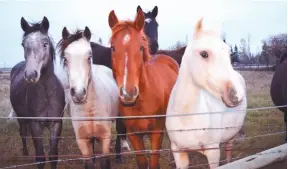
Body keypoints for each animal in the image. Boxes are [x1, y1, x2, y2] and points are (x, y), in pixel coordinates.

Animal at [9, 16, 65, 169]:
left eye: (45, 44)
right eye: (23, 44)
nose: (30, 75)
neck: (46, 95)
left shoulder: (56, 124)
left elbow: (53, 156)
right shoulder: (35, 124)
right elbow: (40, 157)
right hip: (21, 117)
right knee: (23, 132)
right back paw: (25, 152)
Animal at [56, 25, 126, 168]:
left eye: (89, 56)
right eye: (65, 59)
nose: (78, 93)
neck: (90, 109)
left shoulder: (105, 137)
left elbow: (105, 162)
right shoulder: (82, 140)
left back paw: (119, 156)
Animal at [108, 9, 180, 169]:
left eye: (141, 47)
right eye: (112, 48)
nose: (128, 93)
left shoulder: (157, 132)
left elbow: (153, 162)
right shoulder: (134, 135)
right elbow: (142, 162)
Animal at [165, 17, 249, 169]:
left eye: (229, 54)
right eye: (204, 54)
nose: (236, 95)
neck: (186, 117)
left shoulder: (213, 152)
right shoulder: (178, 151)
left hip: (231, 135)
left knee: (228, 149)